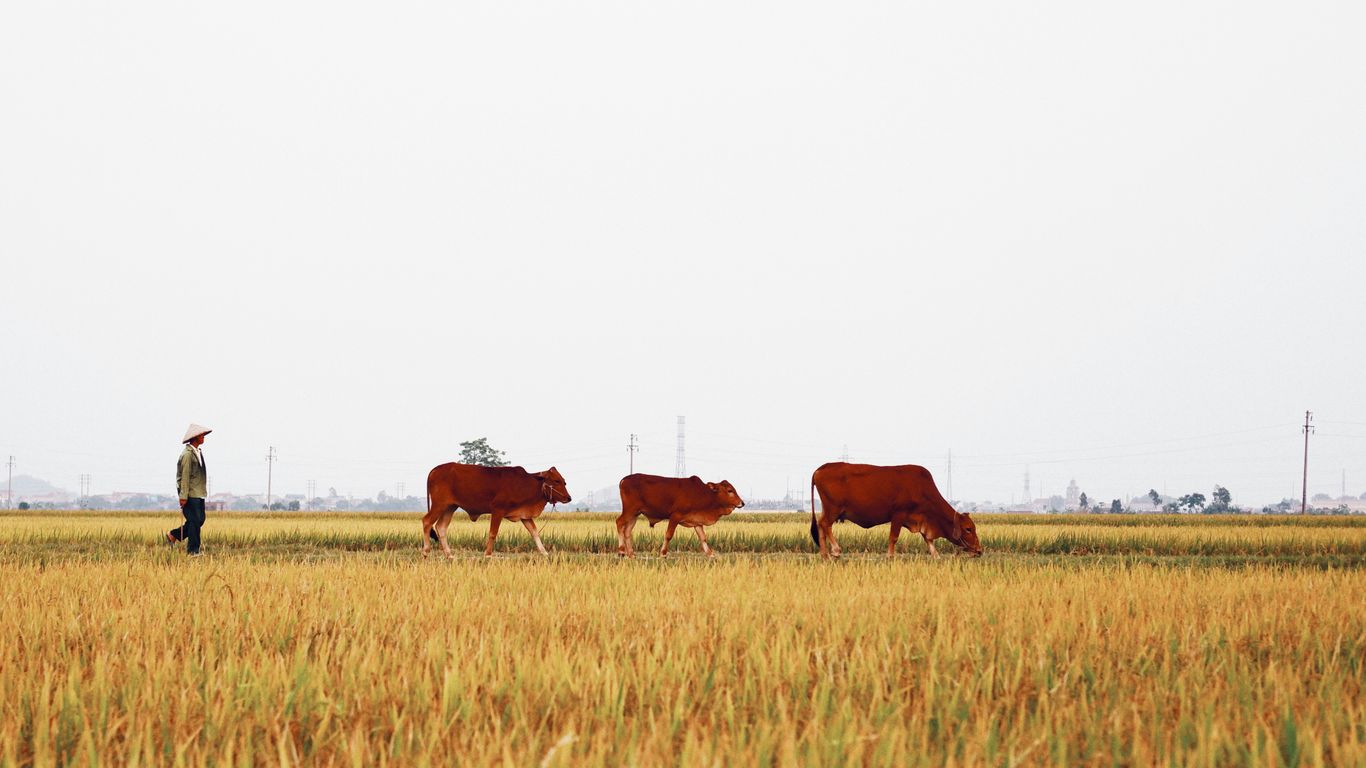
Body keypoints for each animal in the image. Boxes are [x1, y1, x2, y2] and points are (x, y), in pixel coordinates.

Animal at [423, 463, 571, 558]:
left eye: (564, 481)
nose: (569, 498)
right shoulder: (497, 510)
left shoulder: (524, 515)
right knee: (427, 522)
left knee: (441, 527)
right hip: (439, 505)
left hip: (450, 507)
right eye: (556, 481)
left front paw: (544, 552)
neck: (526, 484)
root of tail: (435, 469)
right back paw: (426, 551)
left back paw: (449, 555)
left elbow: (534, 532)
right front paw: (488, 554)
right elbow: (493, 533)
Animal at [617, 473, 745, 558]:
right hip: (629, 510)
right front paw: (663, 553)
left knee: (627, 531)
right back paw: (621, 551)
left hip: (635, 514)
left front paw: (710, 553)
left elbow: (703, 537)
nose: (742, 503)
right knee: (619, 522)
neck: (703, 494)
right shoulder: (675, 516)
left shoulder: (697, 521)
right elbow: (668, 535)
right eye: (730, 490)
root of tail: (624, 479)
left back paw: (631, 554)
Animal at [810, 462, 982, 559]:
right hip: (833, 509)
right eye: (968, 529)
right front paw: (890, 555)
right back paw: (835, 551)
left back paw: (824, 554)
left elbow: (928, 539)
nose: (979, 550)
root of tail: (822, 468)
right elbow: (894, 537)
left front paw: (936, 555)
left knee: (821, 525)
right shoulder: (898, 515)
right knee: (825, 525)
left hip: (828, 509)